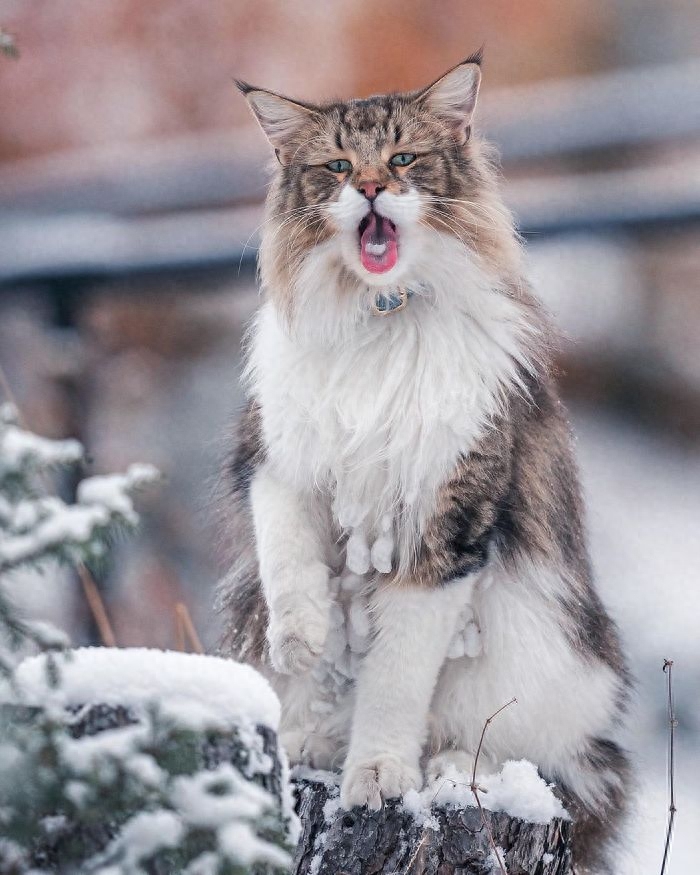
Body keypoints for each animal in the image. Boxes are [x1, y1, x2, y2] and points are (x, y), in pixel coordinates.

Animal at [219, 56, 628, 875]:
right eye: (337, 167)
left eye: (403, 158)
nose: (374, 187)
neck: (379, 314)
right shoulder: (276, 459)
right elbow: (290, 564)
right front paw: (303, 635)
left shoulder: (447, 524)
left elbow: (395, 680)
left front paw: (378, 775)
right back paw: (312, 740)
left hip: (546, 665)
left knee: (523, 753)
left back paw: (446, 763)